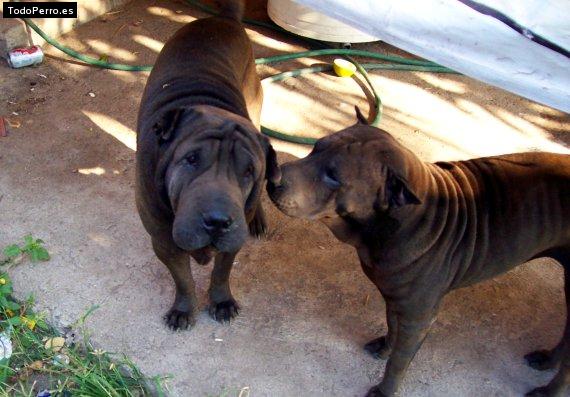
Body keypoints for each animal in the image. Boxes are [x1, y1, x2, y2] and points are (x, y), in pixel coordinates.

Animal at [138, 1, 280, 330]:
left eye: (248, 171)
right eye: (191, 160)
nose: (217, 221)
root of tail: (222, 20)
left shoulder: (231, 242)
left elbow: (221, 273)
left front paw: (222, 301)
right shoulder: (164, 240)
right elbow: (183, 279)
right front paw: (183, 309)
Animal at [268, 111, 568, 396]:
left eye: (334, 177)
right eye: (315, 147)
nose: (273, 178)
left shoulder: (419, 317)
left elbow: (399, 363)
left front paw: (385, 390)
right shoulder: (395, 298)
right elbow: (392, 327)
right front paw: (385, 347)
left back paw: (547, 390)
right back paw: (548, 360)